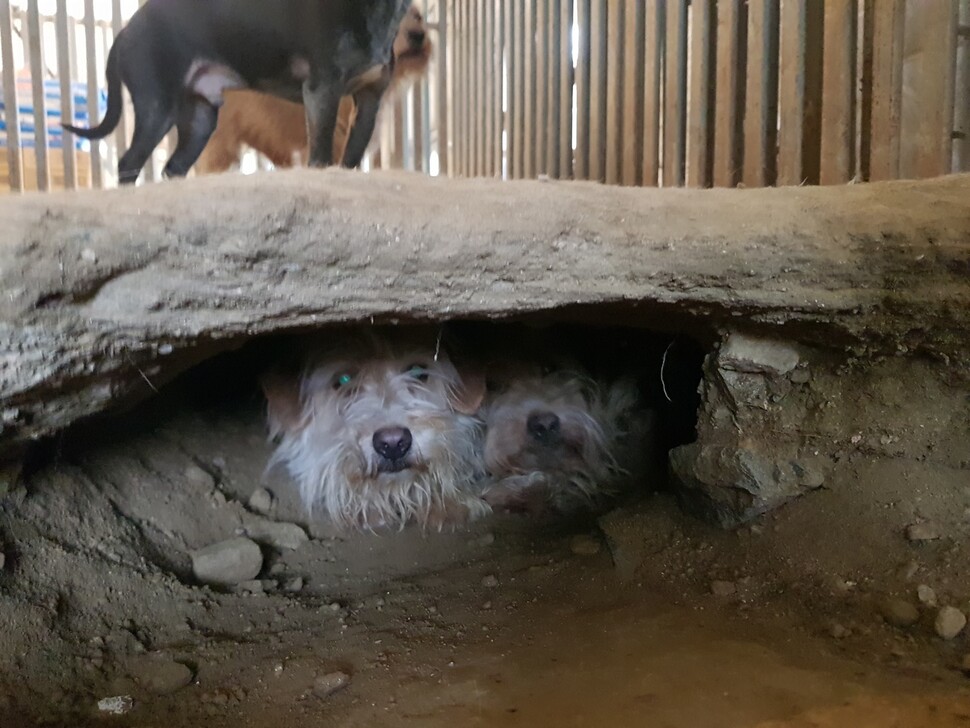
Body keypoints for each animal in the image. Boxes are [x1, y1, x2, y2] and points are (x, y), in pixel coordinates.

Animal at [62, 0, 406, 182]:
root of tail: (123, 33)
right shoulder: (322, 92)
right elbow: (320, 158)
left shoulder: (369, 101)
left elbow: (350, 159)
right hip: (157, 109)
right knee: (128, 164)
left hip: (200, 120)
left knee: (173, 168)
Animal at [197, 3, 432, 173]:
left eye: (418, 17)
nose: (417, 35)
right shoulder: (324, 102)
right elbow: (322, 159)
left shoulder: (367, 103)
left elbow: (350, 160)